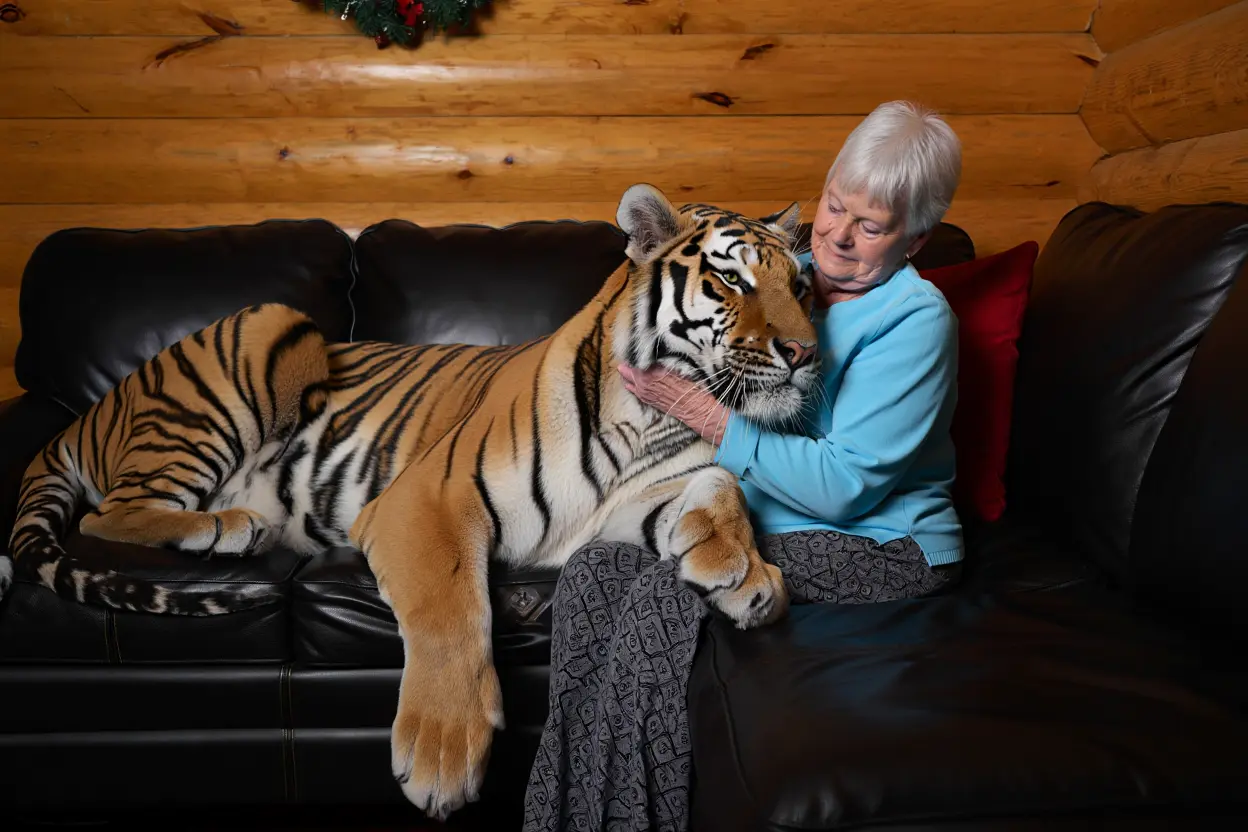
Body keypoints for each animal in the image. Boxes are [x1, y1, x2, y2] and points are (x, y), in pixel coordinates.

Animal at [1, 183, 821, 819]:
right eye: (734, 282)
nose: (808, 354)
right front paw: (443, 754)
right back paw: (230, 529)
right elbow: (453, 609)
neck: (654, 413)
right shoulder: (429, 499)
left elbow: (720, 486)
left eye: (801, 287)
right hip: (260, 335)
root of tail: (86, 410)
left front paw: (746, 574)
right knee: (108, 512)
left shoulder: (630, 505)